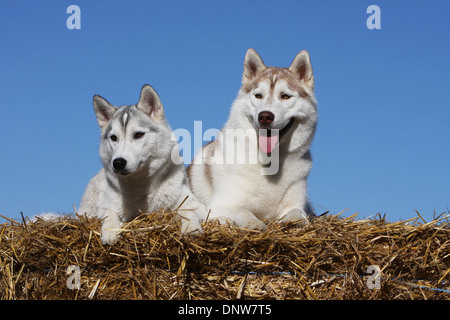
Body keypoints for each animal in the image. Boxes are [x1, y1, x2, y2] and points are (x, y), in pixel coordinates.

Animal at [79, 84, 206, 244]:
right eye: (113, 138)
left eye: (138, 135)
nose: (118, 162)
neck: (141, 186)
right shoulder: (105, 208)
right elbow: (110, 213)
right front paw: (110, 231)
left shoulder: (198, 206)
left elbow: (188, 212)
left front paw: (191, 228)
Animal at [188, 48, 318, 230]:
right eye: (258, 95)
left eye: (285, 96)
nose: (265, 116)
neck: (270, 162)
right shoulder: (219, 207)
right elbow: (243, 212)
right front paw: (255, 224)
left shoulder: (296, 203)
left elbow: (296, 213)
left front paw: (292, 221)